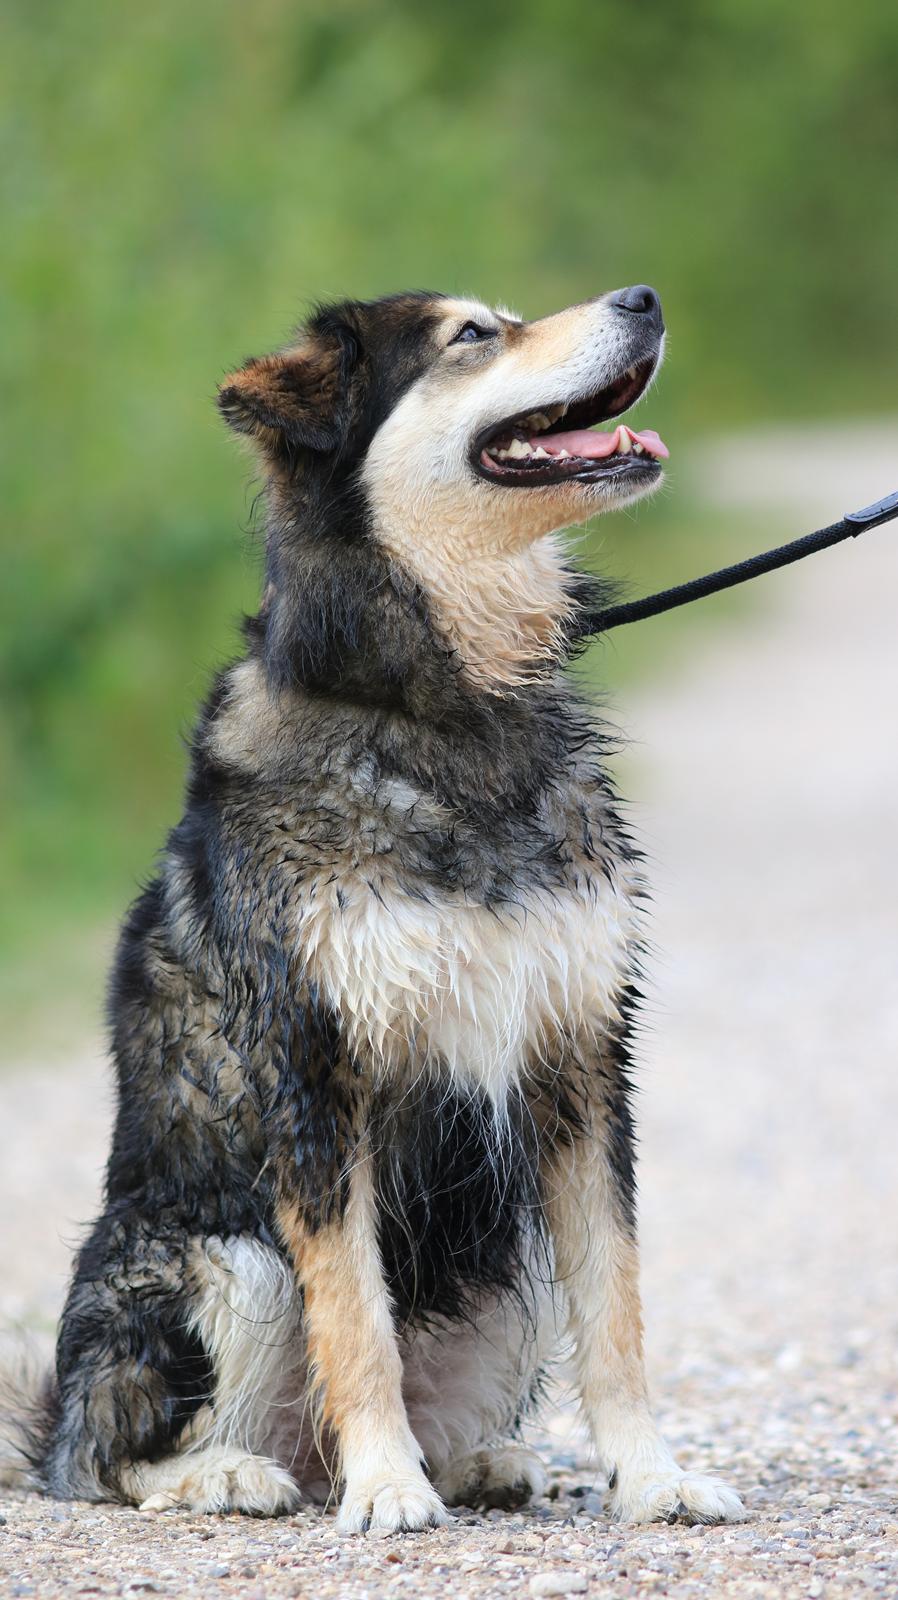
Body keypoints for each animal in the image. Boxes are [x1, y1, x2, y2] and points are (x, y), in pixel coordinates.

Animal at [0, 291, 742, 1536]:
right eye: (473, 336)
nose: (641, 299)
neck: (443, 703)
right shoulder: (316, 1076)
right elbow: (355, 1316)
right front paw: (388, 1485)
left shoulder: (582, 1058)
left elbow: (617, 1308)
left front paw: (650, 1475)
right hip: (215, 1256)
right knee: (104, 1457)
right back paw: (234, 1473)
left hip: (501, 1269)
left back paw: (477, 1460)